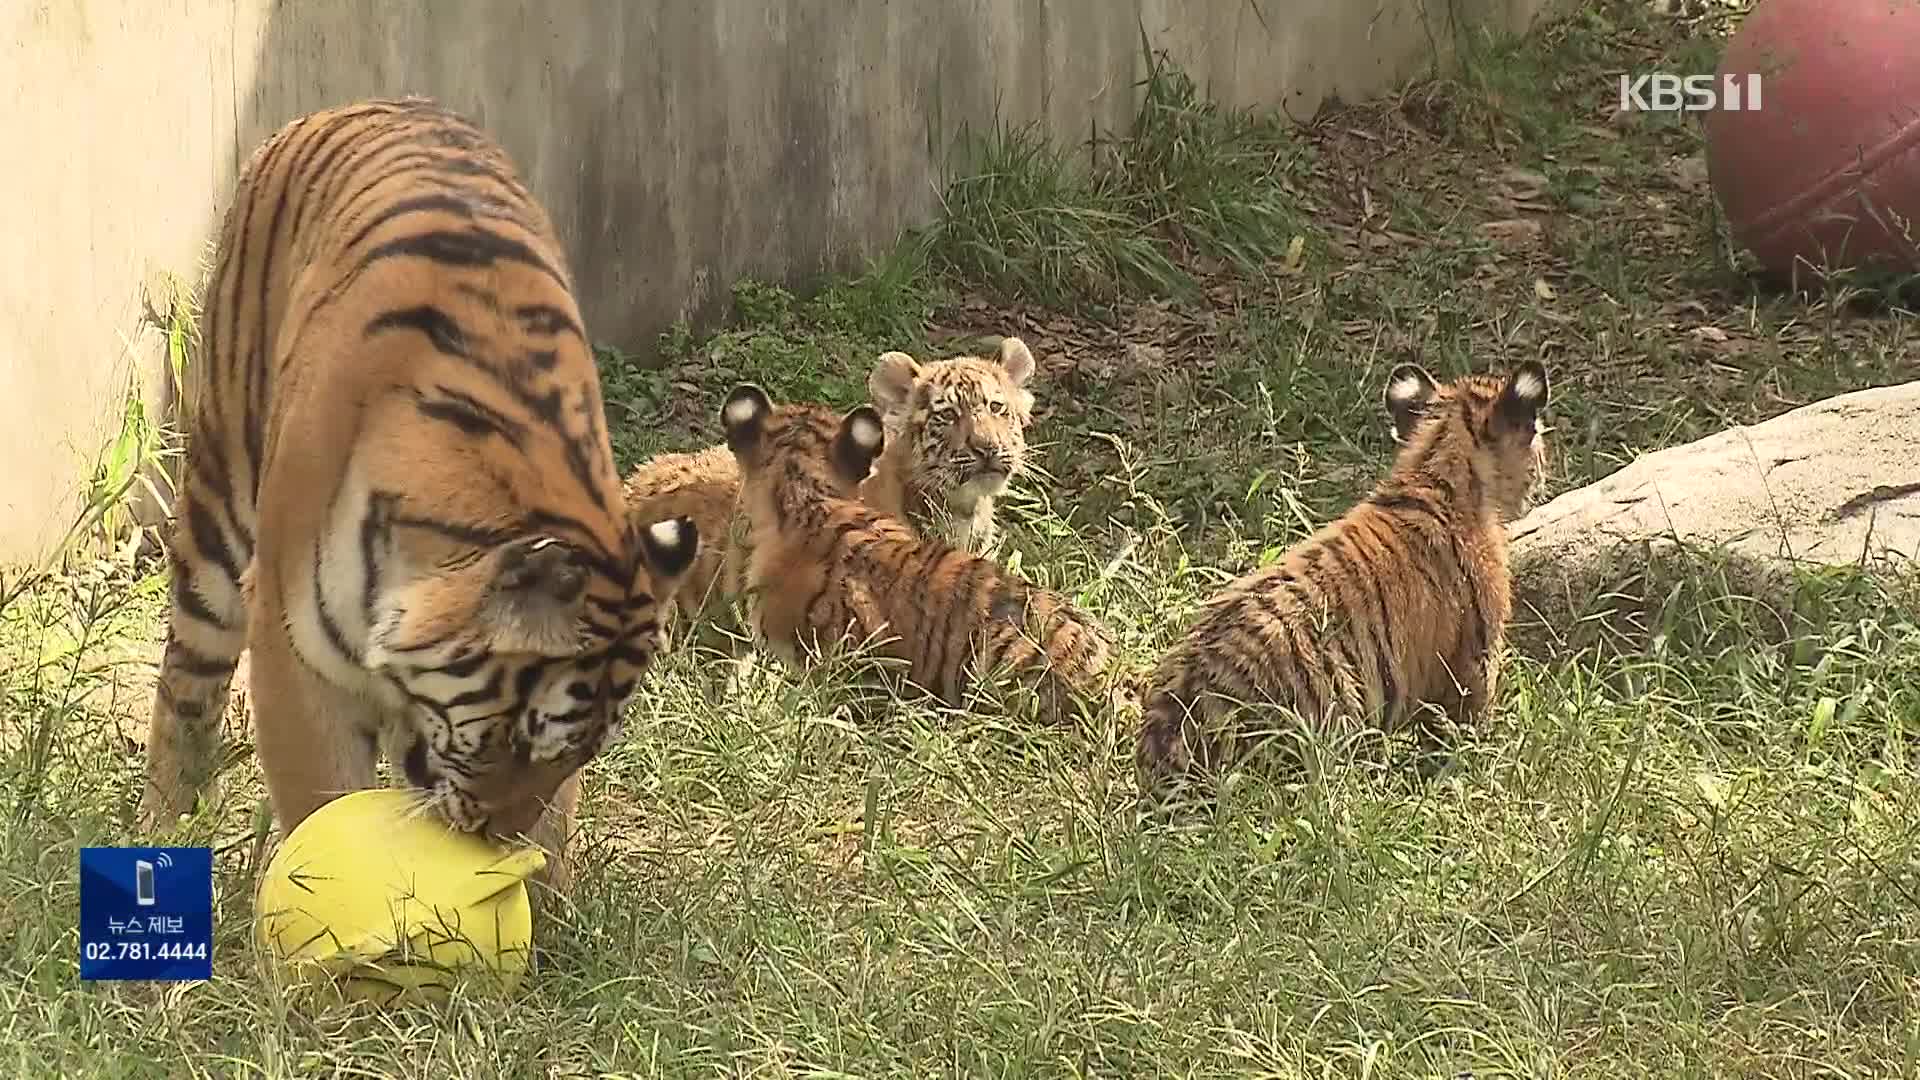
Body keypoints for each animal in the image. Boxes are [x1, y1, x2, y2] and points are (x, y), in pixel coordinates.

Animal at [140, 96, 698, 887]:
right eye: (515, 742)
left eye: (580, 755)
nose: (497, 837)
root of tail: (349, 106)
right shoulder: (289, 655)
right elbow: (321, 802)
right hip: (220, 508)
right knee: (189, 677)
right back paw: (166, 822)